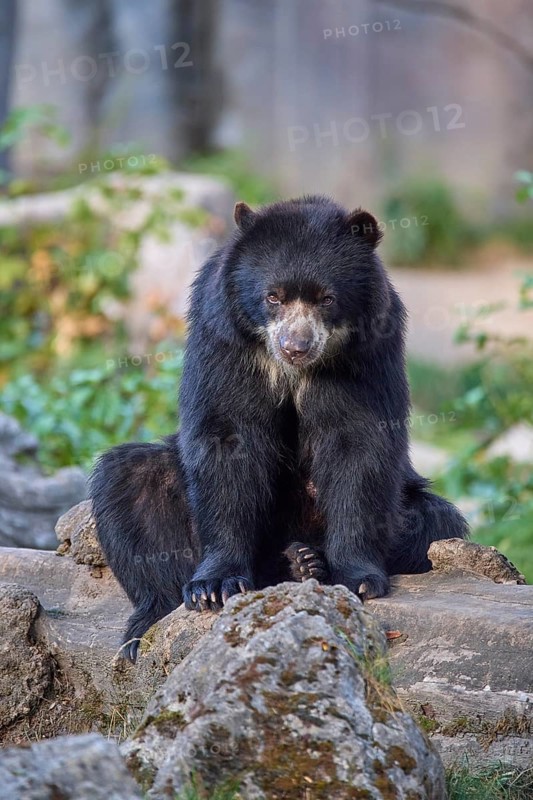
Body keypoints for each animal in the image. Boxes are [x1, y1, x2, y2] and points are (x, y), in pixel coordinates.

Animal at [90, 195, 468, 661]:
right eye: (273, 297)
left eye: (326, 298)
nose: (295, 346)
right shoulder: (225, 339)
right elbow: (226, 434)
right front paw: (214, 587)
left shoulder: (365, 352)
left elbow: (359, 442)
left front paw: (358, 578)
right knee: (130, 483)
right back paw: (150, 622)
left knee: (435, 522)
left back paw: (306, 561)